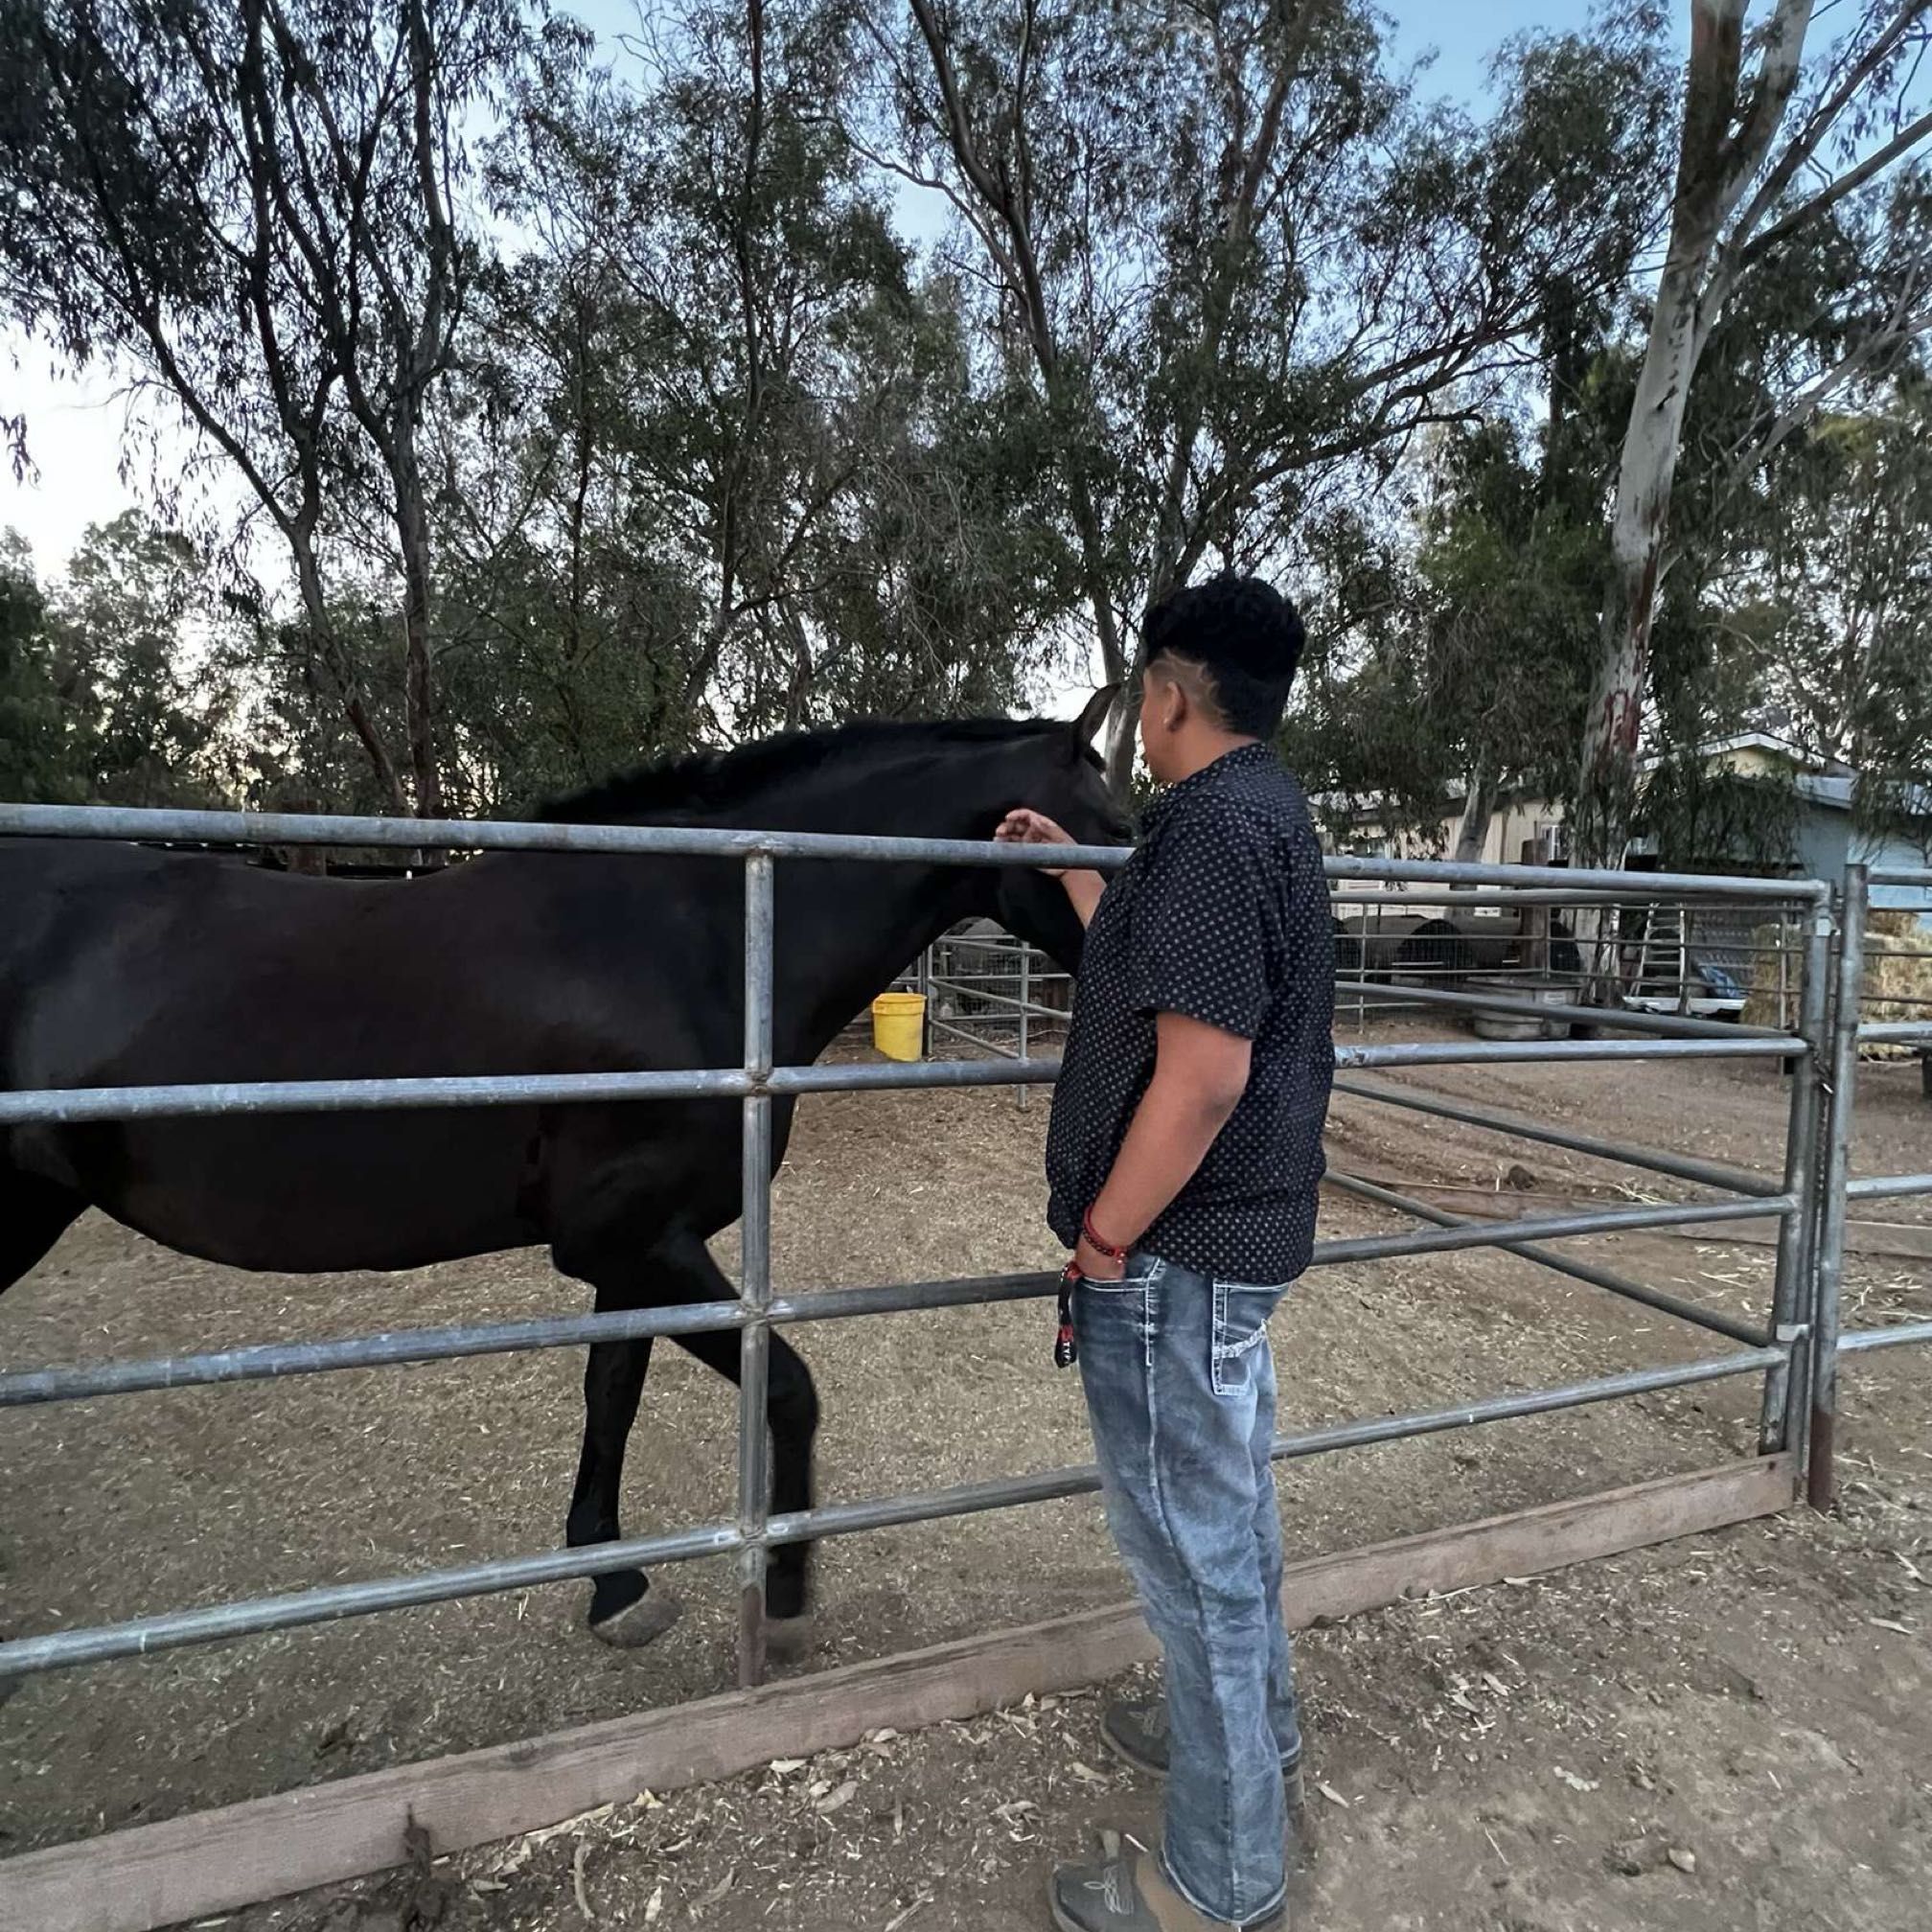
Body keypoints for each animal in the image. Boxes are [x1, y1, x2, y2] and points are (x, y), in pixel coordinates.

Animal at [0, 706, 1128, 1645]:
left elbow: (611, 1393)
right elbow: (790, 1389)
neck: (695, 938)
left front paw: (613, 1579)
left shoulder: (636, 1253)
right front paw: (785, 1588)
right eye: (1107, 823)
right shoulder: (630, 1240)